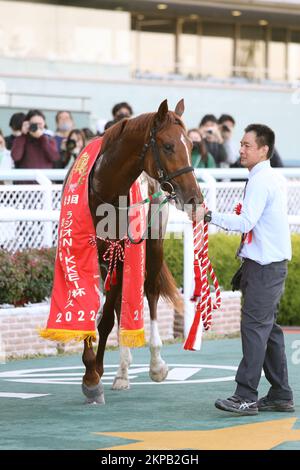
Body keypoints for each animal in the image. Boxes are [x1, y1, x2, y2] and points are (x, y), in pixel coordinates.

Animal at [82, 99, 204, 404]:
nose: (195, 199)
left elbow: (108, 318)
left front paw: (95, 374)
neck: (104, 193)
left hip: (153, 241)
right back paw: (122, 372)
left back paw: (153, 365)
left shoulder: (122, 252)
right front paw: (92, 371)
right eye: (168, 146)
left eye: (191, 145)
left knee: (149, 291)